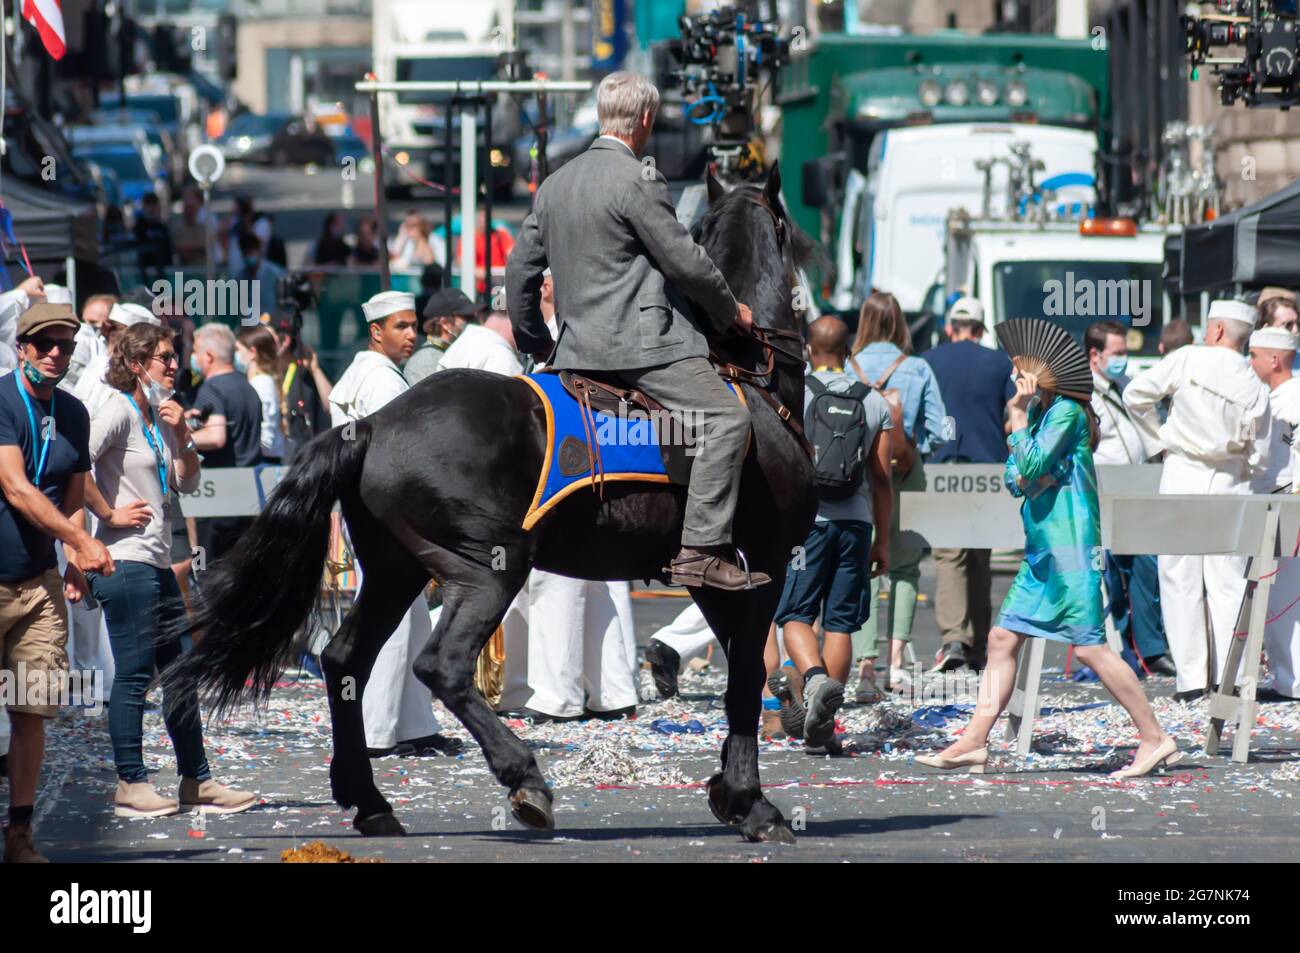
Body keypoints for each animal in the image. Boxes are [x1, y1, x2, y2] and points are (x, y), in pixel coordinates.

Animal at [162, 165, 811, 842]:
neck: (747, 380)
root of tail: (373, 424)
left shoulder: (712, 576)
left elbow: (739, 667)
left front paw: (731, 791)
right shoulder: (764, 565)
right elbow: (745, 679)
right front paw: (754, 803)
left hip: (397, 569)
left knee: (345, 660)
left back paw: (369, 800)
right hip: (487, 569)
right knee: (441, 666)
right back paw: (524, 778)